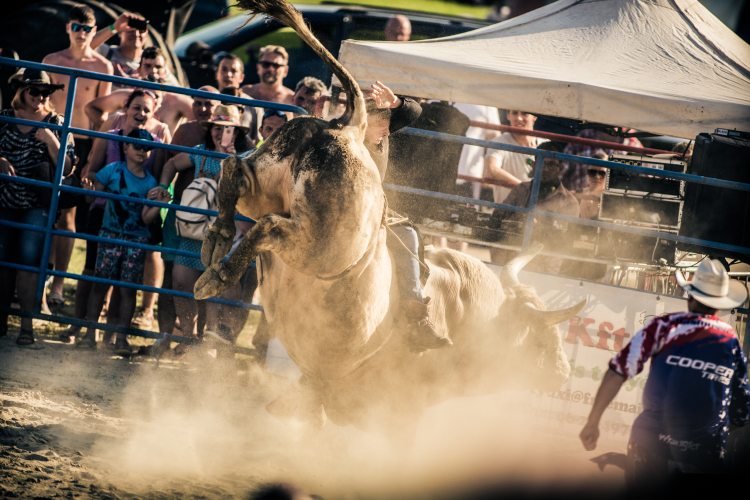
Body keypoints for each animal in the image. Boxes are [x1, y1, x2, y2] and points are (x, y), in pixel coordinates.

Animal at [195, 0, 588, 438]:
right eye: (541, 338)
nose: (561, 373)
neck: (468, 313)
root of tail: (350, 127)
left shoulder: (318, 386)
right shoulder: (400, 410)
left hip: (264, 184)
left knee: (234, 171)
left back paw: (217, 239)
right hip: (322, 245)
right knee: (270, 227)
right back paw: (219, 274)